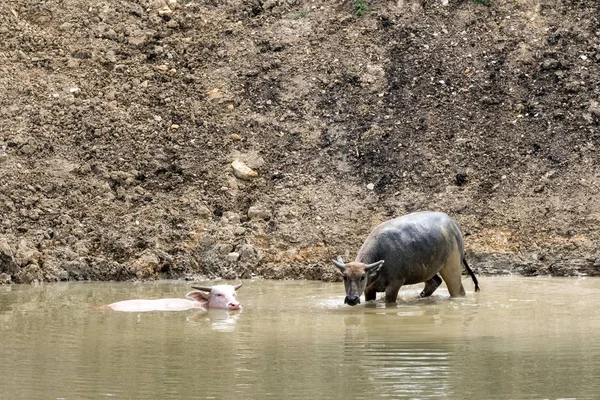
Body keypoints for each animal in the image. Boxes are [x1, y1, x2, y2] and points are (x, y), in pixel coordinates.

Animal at [332, 211, 478, 304]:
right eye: (344, 277)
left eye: (362, 277)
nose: (351, 299)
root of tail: (455, 224)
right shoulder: (369, 289)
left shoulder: (395, 284)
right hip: (426, 269)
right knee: (435, 282)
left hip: (452, 266)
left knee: (457, 290)